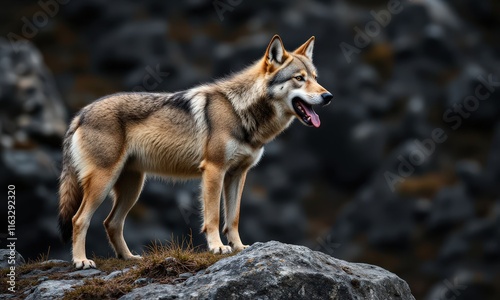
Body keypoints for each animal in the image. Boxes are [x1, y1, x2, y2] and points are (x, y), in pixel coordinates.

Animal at [57, 35, 332, 270]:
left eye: (315, 77)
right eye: (299, 78)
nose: (328, 96)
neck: (240, 111)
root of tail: (80, 114)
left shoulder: (237, 174)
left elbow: (233, 218)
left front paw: (240, 248)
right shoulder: (213, 170)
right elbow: (212, 217)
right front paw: (217, 247)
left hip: (132, 187)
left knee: (111, 223)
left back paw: (129, 257)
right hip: (104, 182)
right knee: (79, 220)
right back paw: (81, 261)